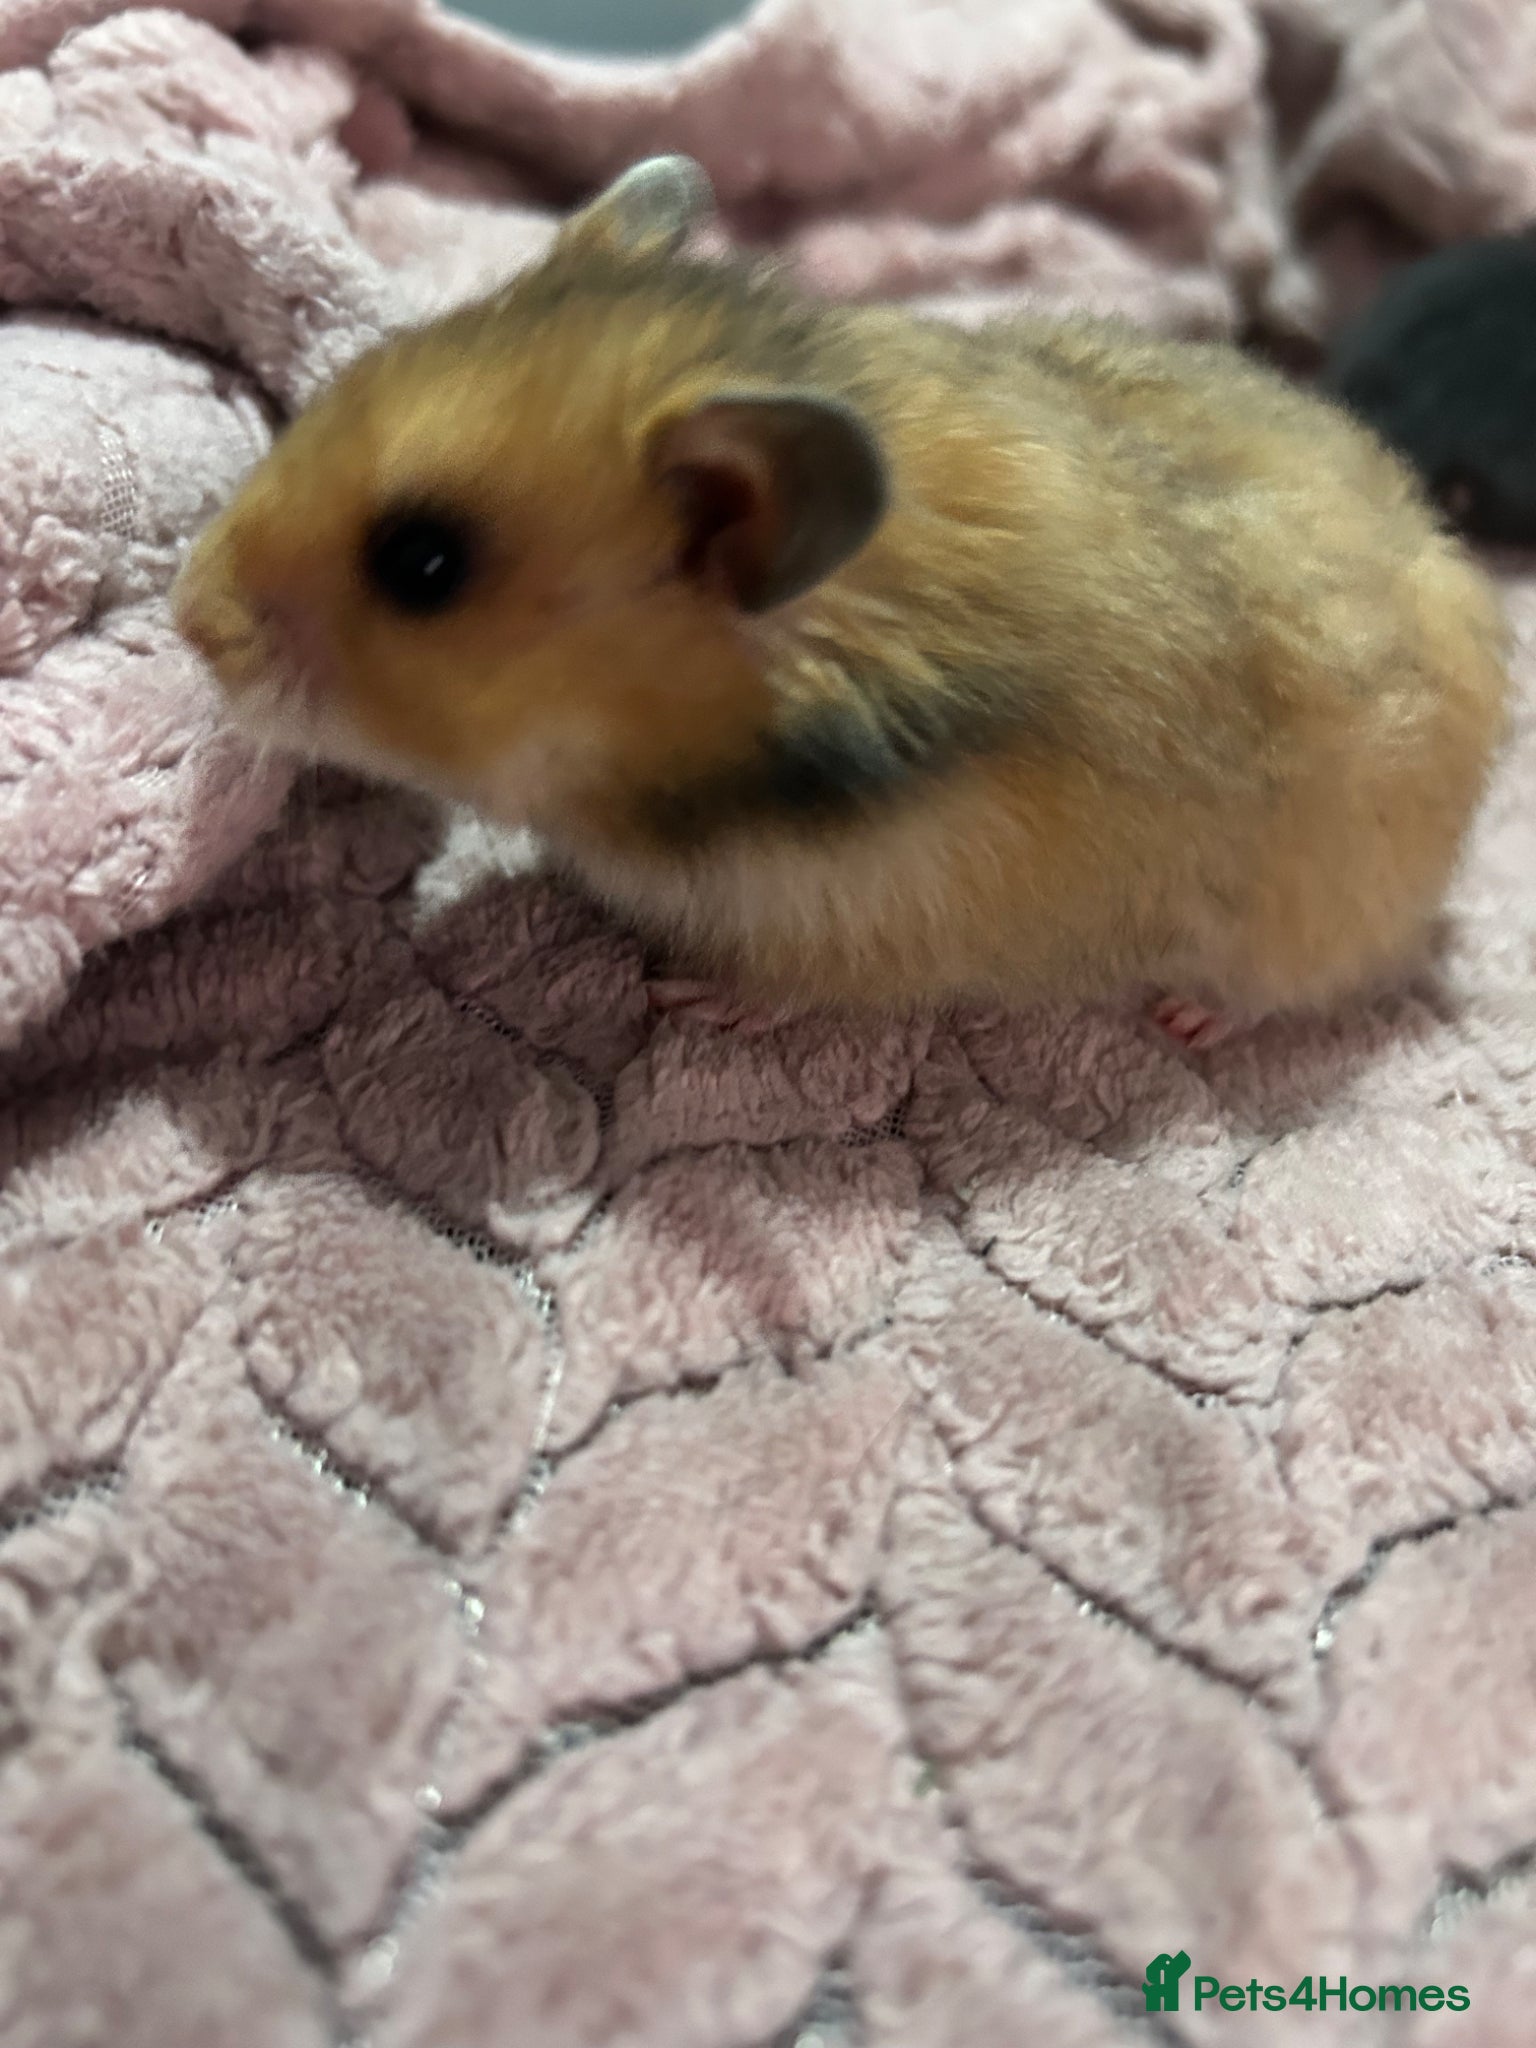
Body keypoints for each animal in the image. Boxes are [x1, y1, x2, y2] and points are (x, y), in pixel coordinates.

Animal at [172, 155, 1511, 1049]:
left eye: (424, 564)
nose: (190, 623)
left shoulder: (877, 921)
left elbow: (780, 988)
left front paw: (680, 995)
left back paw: (1192, 1020)